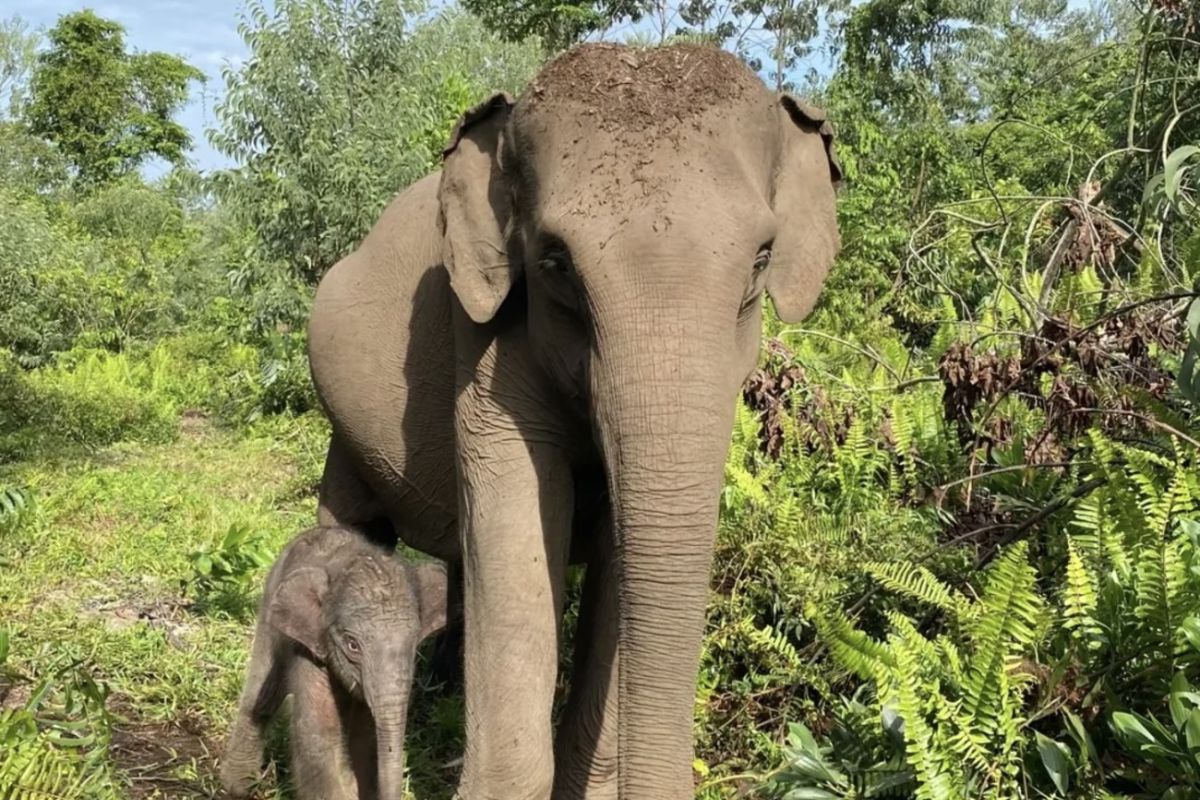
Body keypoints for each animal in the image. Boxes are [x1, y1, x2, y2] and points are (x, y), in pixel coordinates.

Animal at [219, 525, 448, 800]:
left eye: (413, 644)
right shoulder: (312, 646)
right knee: (262, 693)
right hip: (270, 603)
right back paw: (237, 787)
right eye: (352, 645)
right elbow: (319, 731)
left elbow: (365, 738)